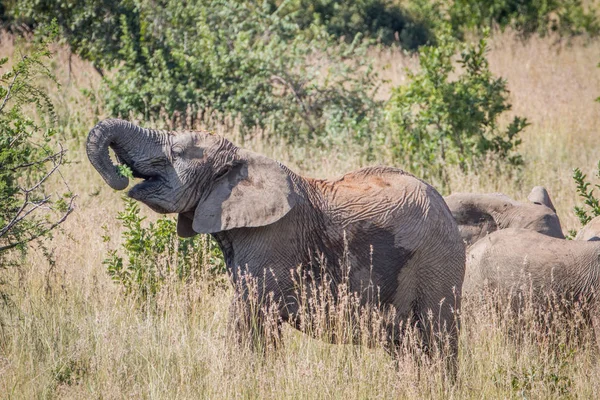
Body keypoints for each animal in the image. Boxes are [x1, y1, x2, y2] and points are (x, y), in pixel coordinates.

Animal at [86, 117, 466, 364]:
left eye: (177, 152)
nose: (120, 176)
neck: (242, 160)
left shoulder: (272, 240)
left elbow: (247, 314)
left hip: (437, 261)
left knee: (437, 337)